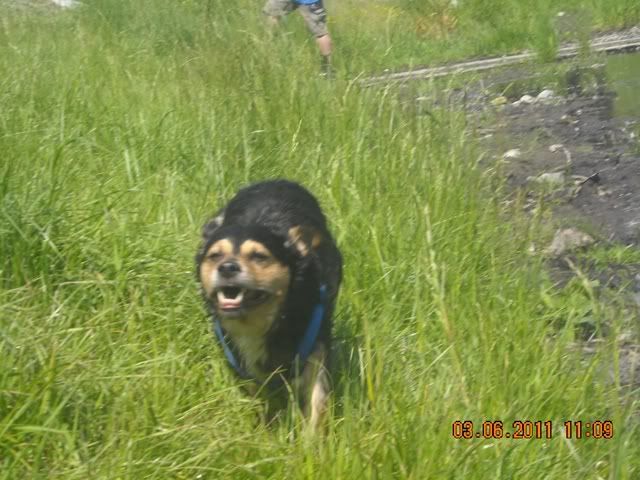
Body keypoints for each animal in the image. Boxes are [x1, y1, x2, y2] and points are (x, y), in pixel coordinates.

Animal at [196, 180, 342, 429]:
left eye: (259, 256)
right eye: (215, 256)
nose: (227, 267)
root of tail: (278, 180)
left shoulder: (316, 344)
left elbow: (317, 399)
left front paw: (310, 439)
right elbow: (257, 391)